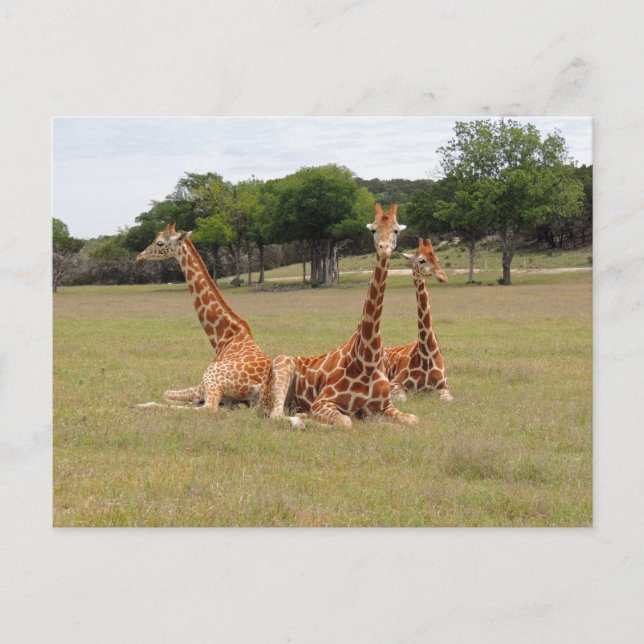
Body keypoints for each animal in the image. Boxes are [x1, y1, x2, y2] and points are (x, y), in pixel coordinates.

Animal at [134, 223, 274, 411]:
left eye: (160, 243)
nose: (139, 257)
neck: (224, 338)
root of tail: (263, 388)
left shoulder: (203, 384)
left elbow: (166, 393)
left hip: (211, 378)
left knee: (207, 408)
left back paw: (144, 404)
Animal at [269, 203, 419, 429]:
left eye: (396, 230)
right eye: (373, 230)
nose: (383, 249)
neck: (367, 360)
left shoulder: (384, 406)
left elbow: (413, 420)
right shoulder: (322, 402)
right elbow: (346, 422)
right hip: (282, 365)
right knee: (276, 415)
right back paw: (301, 419)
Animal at [384, 237, 453, 403]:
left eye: (436, 259)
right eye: (421, 260)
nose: (442, 277)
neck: (427, 353)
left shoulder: (444, 386)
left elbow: (446, 400)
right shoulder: (395, 383)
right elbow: (402, 399)